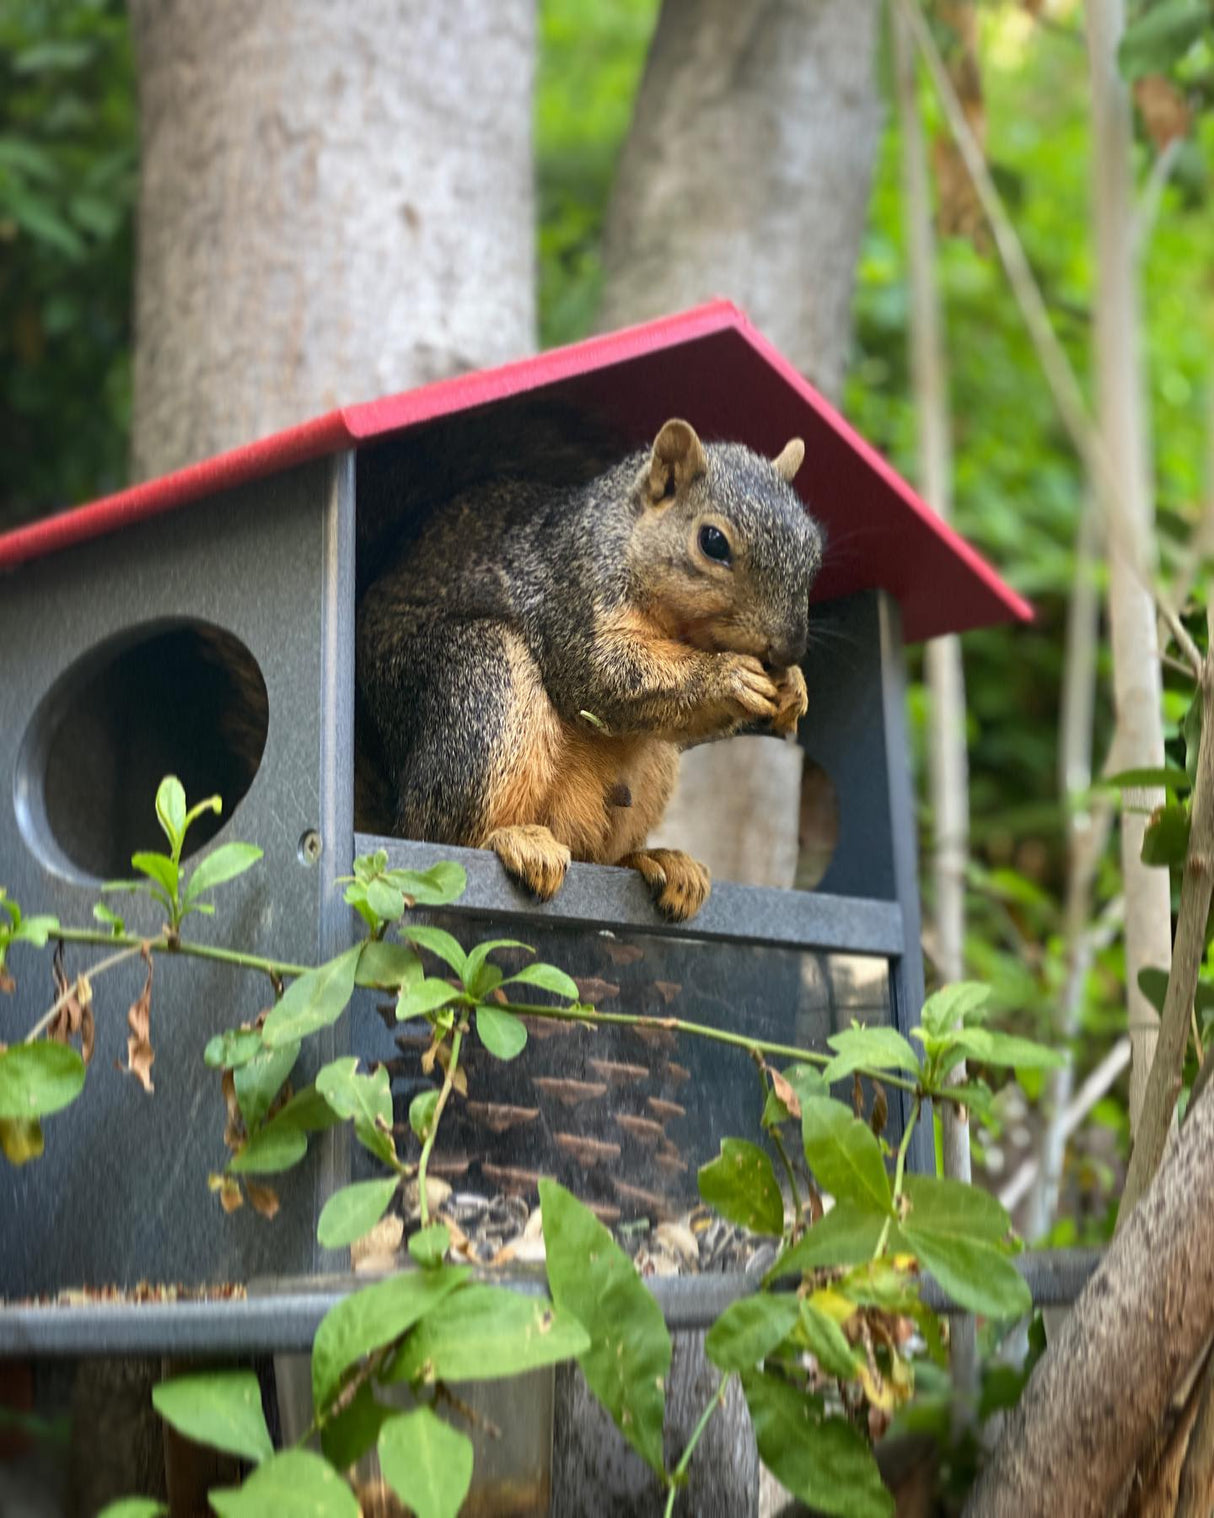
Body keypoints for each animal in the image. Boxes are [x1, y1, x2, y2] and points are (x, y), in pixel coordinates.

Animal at [355, 415, 819, 916]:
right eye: (712, 542)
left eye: (814, 550)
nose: (788, 649)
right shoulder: (572, 593)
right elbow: (599, 675)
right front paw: (727, 676)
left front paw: (794, 689)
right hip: (482, 676)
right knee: (440, 832)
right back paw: (514, 838)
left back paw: (659, 860)